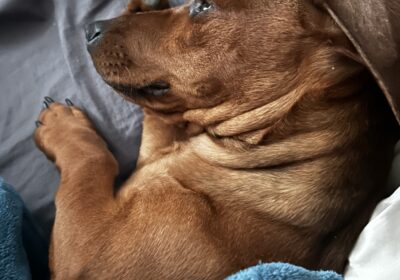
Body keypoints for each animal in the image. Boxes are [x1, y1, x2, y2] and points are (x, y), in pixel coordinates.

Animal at [36, 0, 398, 278]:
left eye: (204, 5)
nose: (89, 28)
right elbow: (158, 116)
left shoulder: (86, 251)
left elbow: (91, 163)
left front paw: (60, 125)